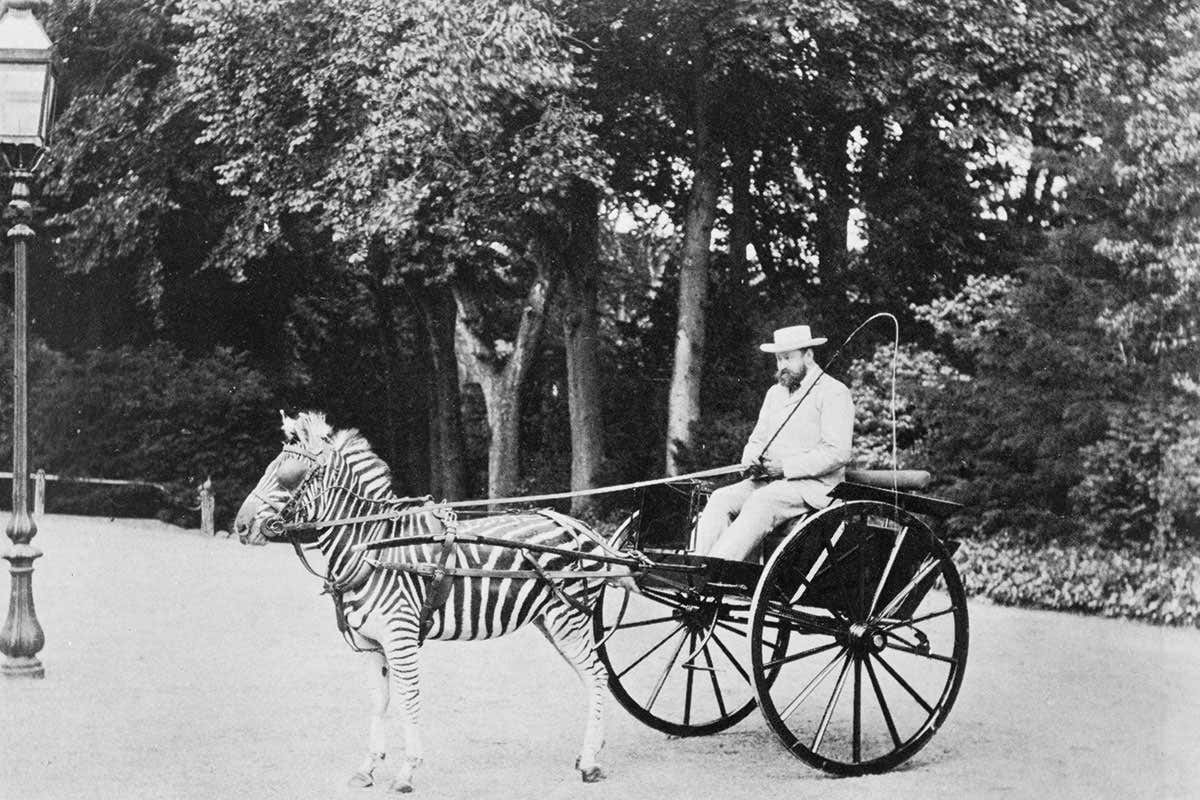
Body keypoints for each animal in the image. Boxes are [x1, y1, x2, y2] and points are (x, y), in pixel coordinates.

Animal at [233, 411, 626, 794]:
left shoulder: (400, 635)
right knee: (591, 677)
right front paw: (367, 768)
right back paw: (590, 753)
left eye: (288, 474)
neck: (370, 547)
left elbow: (409, 698)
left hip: (568, 616)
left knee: (597, 674)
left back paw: (590, 763)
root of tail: (580, 525)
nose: (239, 526)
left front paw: (407, 771)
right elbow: (379, 701)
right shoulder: (370, 643)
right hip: (551, 621)